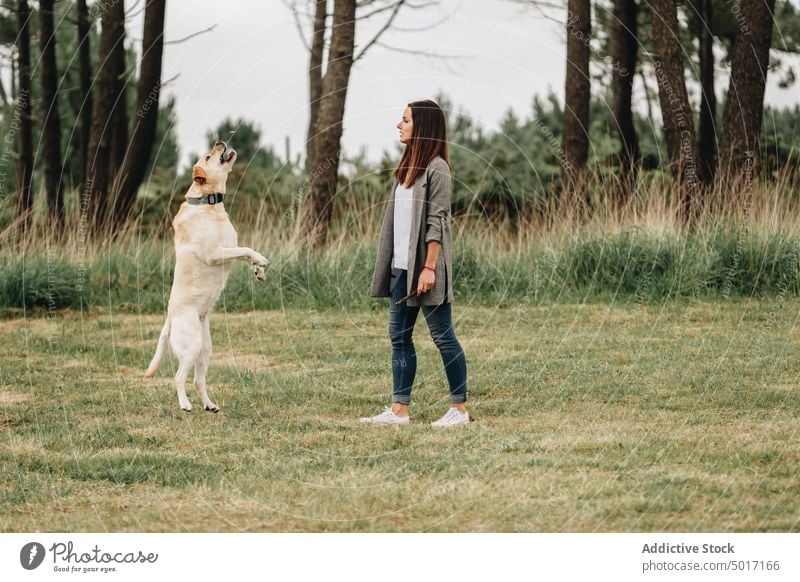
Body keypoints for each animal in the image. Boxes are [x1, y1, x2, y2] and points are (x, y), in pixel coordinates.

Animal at [144, 141, 268, 412]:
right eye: (209, 156)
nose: (220, 141)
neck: (208, 203)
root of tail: (169, 321)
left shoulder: (229, 248)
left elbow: (244, 252)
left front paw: (258, 270)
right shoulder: (215, 253)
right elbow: (246, 249)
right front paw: (261, 260)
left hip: (205, 350)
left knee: (197, 380)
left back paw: (209, 405)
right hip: (191, 347)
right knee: (179, 377)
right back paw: (185, 404)